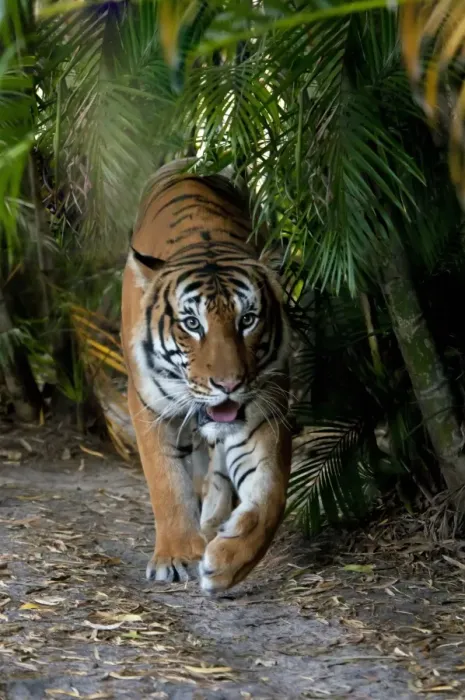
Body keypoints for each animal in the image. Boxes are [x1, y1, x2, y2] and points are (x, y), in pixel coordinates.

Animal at [121, 158, 292, 593]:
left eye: (248, 320)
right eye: (192, 324)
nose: (228, 385)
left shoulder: (264, 405)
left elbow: (270, 492)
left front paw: (229, 560)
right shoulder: (149, 406)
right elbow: (166, 482)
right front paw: (179, 554)